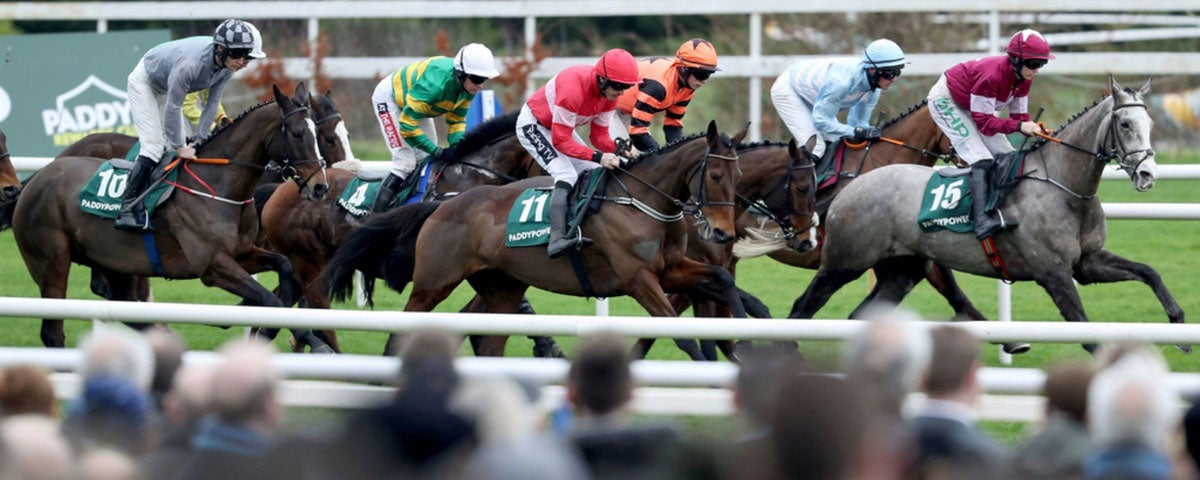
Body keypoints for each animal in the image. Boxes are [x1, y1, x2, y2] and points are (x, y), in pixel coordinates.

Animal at [15, 81, 333, 345]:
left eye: (318, 135)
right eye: (297, 133)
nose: (320, 187)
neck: (217, 185)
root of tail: (37, 178)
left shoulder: (242, 253)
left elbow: (285, 266)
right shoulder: (213, 266)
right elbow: (271, 301)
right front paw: (297, 336)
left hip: (113, 263)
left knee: (129, 312)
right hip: (51, 263)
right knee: (53, 331)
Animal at [324, 120, 744, 355]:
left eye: (738, 177)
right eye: (715, 176)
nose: (723, 232)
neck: (641, 199)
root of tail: (442, 204)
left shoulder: (670, 269)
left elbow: (722, 278)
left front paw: (742, 338)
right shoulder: (637, 278)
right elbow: (682, 335)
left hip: (502, 289)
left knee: (488, 343)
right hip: (433, 282)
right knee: (400, 334)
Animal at [787, 75, 1180, 352]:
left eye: (1150, 125)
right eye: (1125, 124)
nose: (1148, 174)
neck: (1064, 187)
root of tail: (850, 188)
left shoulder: (1086, 263)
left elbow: (1150, 272)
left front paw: (1179, 326)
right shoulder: (1053, 273)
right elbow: (1088, 335)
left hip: (902, 271)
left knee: (859, 317)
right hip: (844, 263)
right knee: (802, 307)